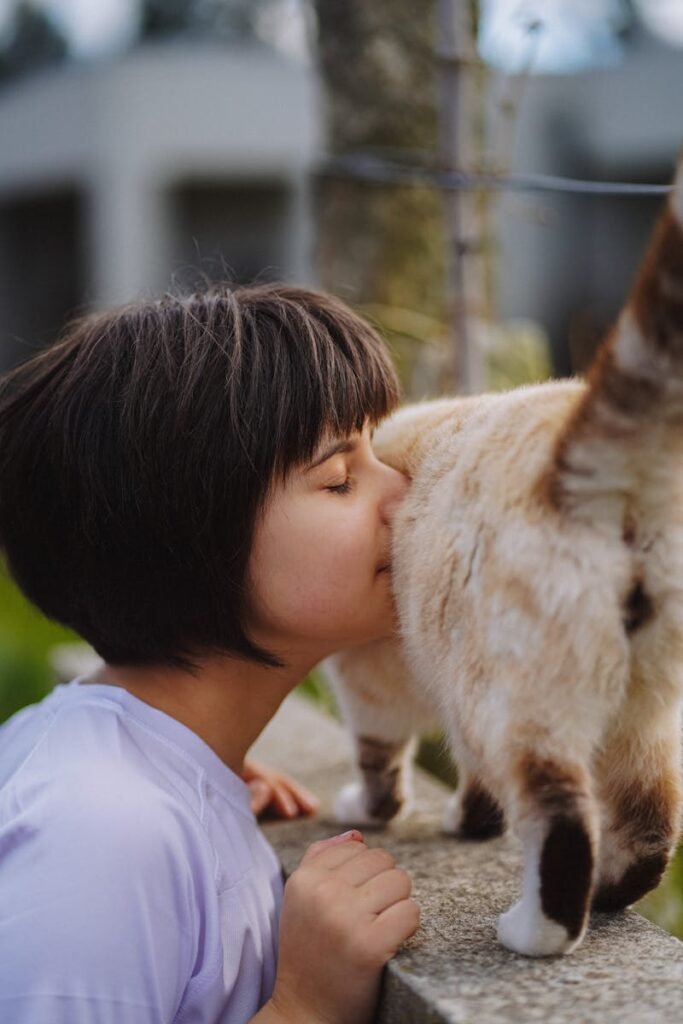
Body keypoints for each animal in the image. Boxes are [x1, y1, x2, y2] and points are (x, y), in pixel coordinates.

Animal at [323, 155, 683, 954]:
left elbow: (381, 766)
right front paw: (469, 824)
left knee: (560, 817)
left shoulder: (375, 682)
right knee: (650, 823)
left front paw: (375, 811)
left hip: (512, 706)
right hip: (641, 710)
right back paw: (607, 901)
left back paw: (534, 933)